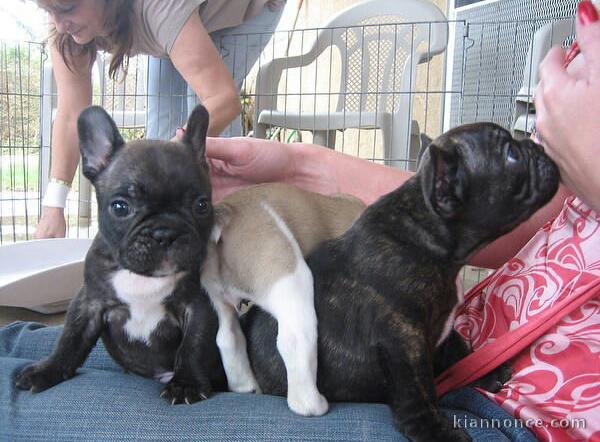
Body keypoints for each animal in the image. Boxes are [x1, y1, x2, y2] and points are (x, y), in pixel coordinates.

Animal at [17, 104, 227, 404]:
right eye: (120, 207)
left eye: (201, 205)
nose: (165, 232)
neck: (143, 277)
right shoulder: (88, 303)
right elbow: (69, 340)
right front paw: (48, 370)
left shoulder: (198, 305)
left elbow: (193, 346)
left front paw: (185, 384)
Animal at [241, 123, 560, 442]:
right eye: (511, 154)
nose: (539, 146)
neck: (423, 230)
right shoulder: (405, 340)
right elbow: (418, 390)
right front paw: (435, 431)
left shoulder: (436, 327)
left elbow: (456, 346)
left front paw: (484, 370)